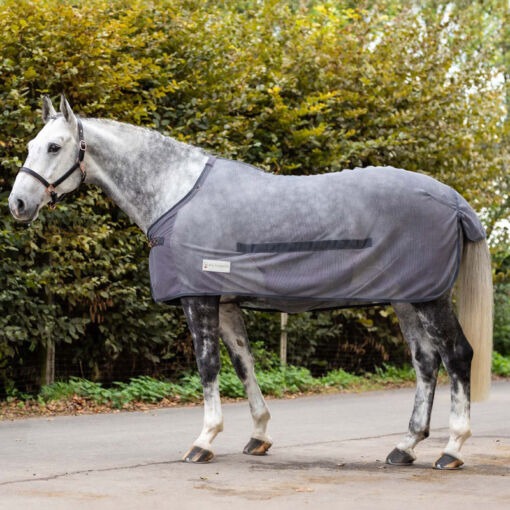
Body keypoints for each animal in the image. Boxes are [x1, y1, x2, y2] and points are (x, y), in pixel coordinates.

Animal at [8, 96, 494, 470]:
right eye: (31, 145)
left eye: (54, 146)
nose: (18, 204)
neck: (176, 194)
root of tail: (452, 199)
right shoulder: (225, 304)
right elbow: (244, 363)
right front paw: (258, 435)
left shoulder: (199, 299)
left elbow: (208, 367)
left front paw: (203, 441)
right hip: (407, 299)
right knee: (425, 362)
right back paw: (405, 447)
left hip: (429, 299)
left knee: (456, 355)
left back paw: (451, 449)